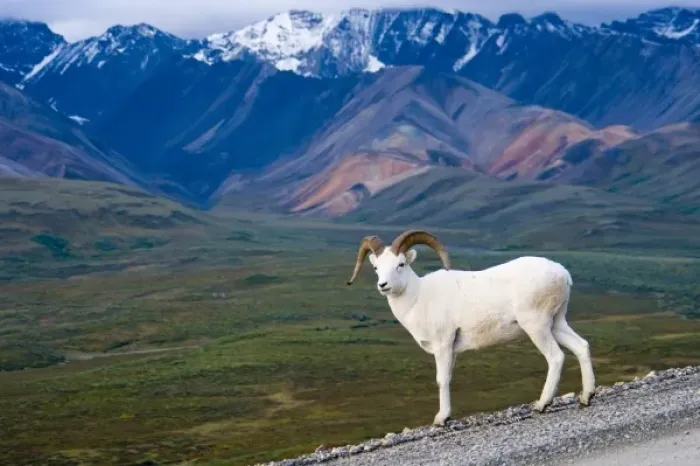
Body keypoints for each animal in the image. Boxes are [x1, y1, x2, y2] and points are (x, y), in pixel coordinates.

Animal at [346, 229, 596, 426]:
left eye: (400, 264)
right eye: (376, 268)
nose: (383, 285)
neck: (419, 298)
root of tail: (563, 274)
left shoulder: (443, 346)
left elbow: (442, 379)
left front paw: (441, 419)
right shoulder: (452, 350)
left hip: (537, 326)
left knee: (556, 357)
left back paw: (542, 405)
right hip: (557, 323)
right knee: (581, 346)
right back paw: (587, 397)